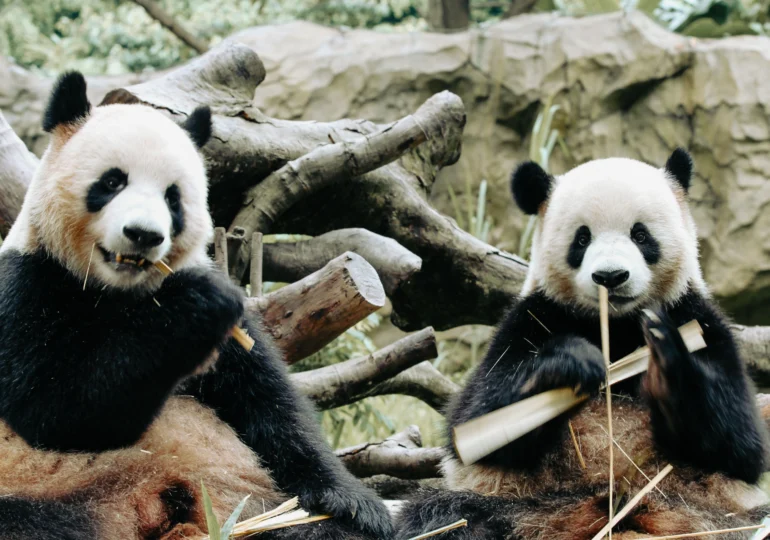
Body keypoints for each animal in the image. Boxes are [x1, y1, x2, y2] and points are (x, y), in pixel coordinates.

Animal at [0, 72, 393, 540]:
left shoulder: (233, 341)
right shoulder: (27, 286)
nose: (143, 235)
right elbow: (54, 411)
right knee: (33, 522)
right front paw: (194, 306)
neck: (118, 292)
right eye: (112, 182)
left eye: (173, 198)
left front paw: (354, 503)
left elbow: (269, 406)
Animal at [395, 150, 769, 539]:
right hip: (521, 507)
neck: (615, 327)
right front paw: (570, 363)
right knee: (446, 516)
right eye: (582, 238)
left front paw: (666, 366)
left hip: (710, 513)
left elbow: (741, 444)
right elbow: (479, 420)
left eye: (640, 234)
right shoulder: (531, 319)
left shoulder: (698, 319)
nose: (611, 277)